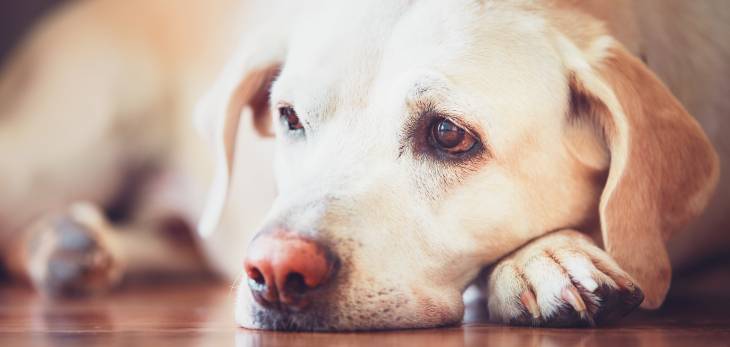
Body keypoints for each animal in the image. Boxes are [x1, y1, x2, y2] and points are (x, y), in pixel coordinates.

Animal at [0, 0, 724, 332]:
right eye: (289, 116)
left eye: (448, 135)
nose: (274, 270)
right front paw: (543, 258)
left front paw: (545, 256)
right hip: (56, 152)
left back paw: (73, 244)